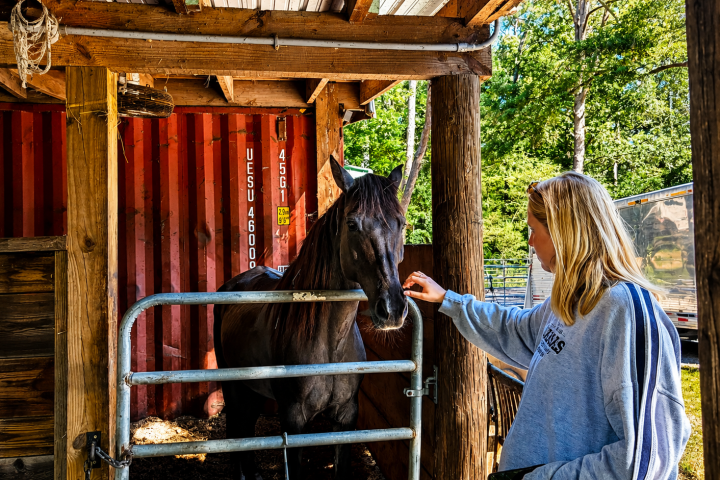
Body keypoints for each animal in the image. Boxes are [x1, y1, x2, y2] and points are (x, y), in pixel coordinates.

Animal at [213, 156, 409, 479]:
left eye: (401, 223)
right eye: (352, 224)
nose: (392, 308)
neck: (330, 344)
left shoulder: (346, 418)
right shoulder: (294, 423)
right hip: (234, 388)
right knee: (237, 431)